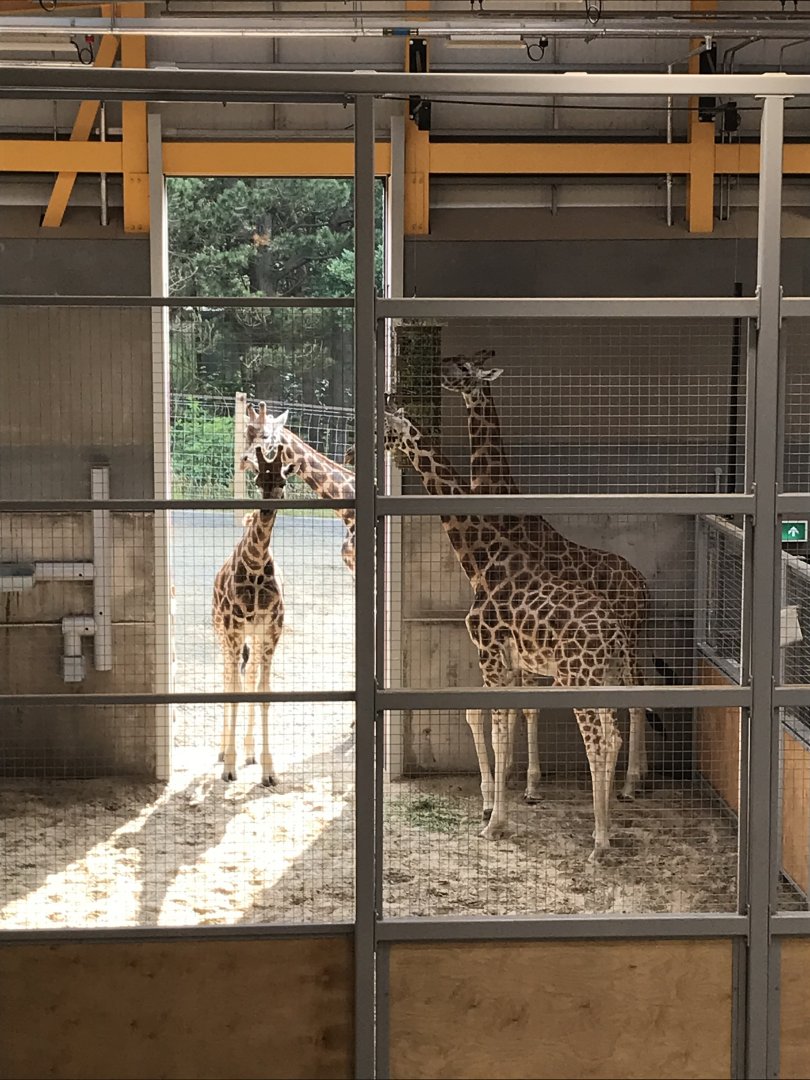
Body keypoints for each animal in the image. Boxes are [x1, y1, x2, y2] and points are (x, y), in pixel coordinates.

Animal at [385, 407, 634, 860]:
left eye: (387, 430)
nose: (351, 451)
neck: (482, 563)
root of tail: (615, 638)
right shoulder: (512, 664)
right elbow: (504, 724)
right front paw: (501, 808)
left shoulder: (490, 655)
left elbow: (499, 730)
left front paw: (495, 821)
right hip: (606, 677)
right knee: (615, 735)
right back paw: (605, 824)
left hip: (580, 678)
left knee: (599, 742)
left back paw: (600, 842)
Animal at [440, 351, 650, 803]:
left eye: (464, 368)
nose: (441, 372)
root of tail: (644, 587)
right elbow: (521, 705)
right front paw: (517, 779)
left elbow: (523, 705)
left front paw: (524, 783)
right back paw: (635, 778)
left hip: (626, 640)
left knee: (638, 696)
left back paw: (628, 785)